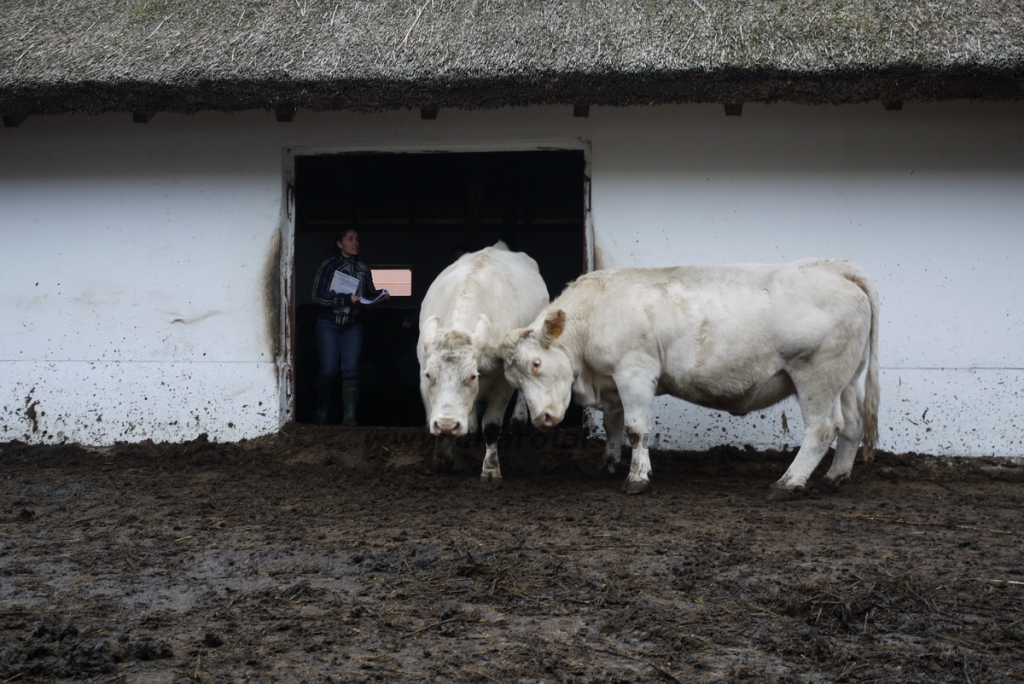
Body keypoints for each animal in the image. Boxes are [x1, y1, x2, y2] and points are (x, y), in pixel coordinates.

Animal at [417, 242, 552, 483]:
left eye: (472, 376)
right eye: (430, 375)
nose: (448, 425)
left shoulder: (502, 383)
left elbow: (491, 427)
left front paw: (490, 470)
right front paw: (442, 458)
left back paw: (518, 419)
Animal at [501, 259, 880, 493]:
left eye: (536, 364)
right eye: (514, 382)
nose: (543, 418)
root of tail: (834, 268)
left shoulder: (635, 371)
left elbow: (636, 428)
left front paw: (637, 478)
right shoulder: (612, 382)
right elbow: (613, 424)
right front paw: (608, 462)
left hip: (816, 374)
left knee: (823, 428)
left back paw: (789, 483)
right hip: (845, 378)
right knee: (851, 424)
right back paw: (834, 476)